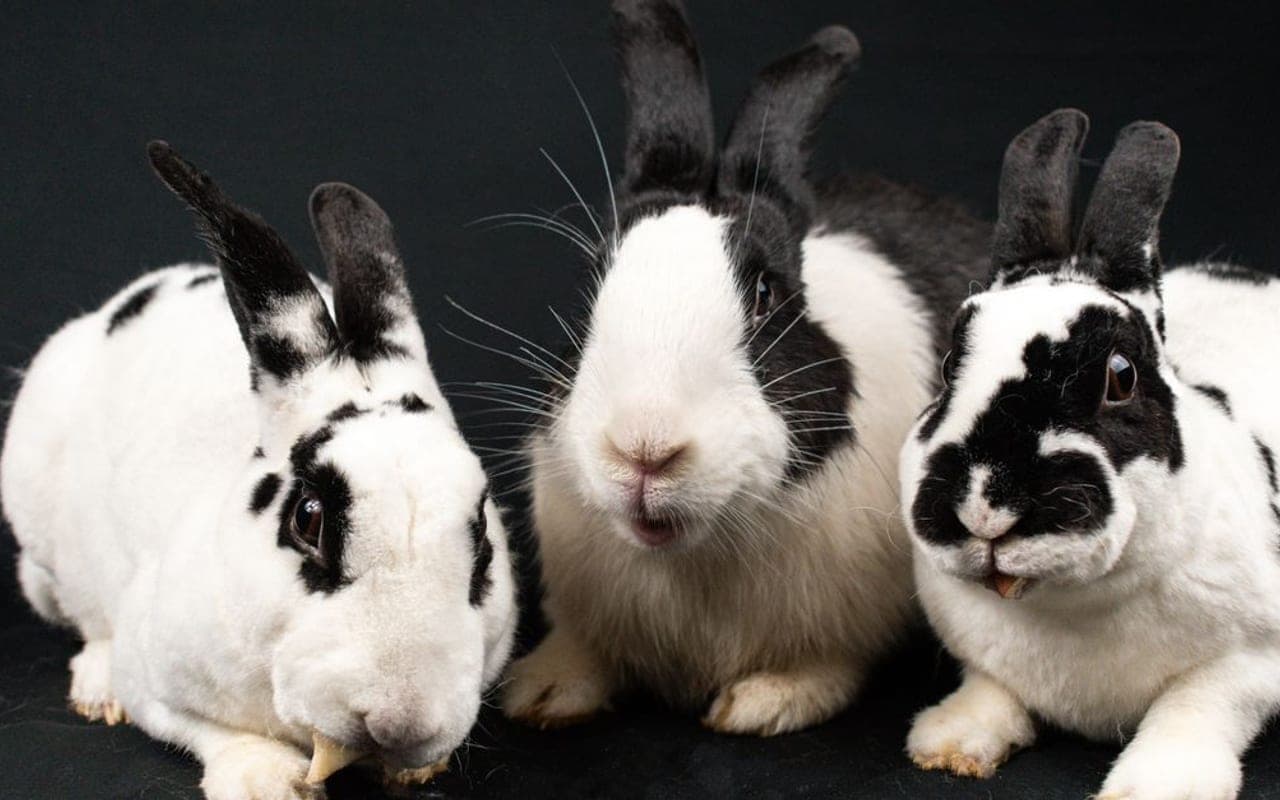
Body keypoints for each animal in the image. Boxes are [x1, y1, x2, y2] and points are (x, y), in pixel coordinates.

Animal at [0, 142, 517, 800]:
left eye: (483, 537)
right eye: (307, 517)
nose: (401, 720)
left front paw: (417, 768)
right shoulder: (153, 677)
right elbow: (208, 729)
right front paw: (266, 781)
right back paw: (96, 689)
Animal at [501, 0, 990, 736]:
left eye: (765, 295)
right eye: (594, 287)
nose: (644, 451)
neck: (692, 553)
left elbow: (823, 667)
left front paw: (762, 704)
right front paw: (539, 690)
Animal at [901, 108, 1280, 799]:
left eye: (1121, 376)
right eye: (947, 369)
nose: (984, 508)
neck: (1068, 603)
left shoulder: (1246, 662)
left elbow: (1195, 706)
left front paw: (1159, 784)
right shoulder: (981, 653)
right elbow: (991, 688)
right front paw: (949, 743)